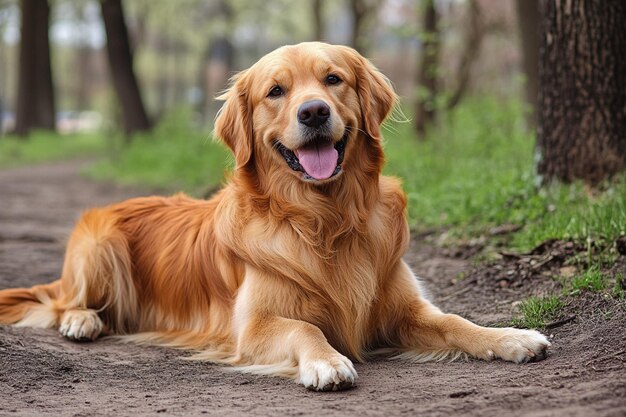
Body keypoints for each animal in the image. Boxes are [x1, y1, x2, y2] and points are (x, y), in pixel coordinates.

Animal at [0, 42, 544, 390]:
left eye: (333, 79)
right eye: (275, 91)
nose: (314, 112)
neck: (325, 219)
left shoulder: (403, 307)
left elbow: (455, 320)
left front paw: (509, 337)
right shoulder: (254, 327)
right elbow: (306, 329)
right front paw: (326, 362)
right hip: (100, 245)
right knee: (62, 301)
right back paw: (82, 321)